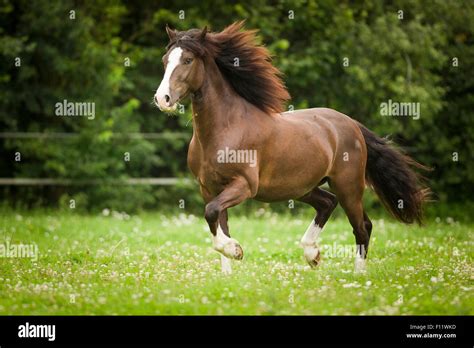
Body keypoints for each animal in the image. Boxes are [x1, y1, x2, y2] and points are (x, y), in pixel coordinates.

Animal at [153, 21, 430, 274]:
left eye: (188, 60)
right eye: (166, 60)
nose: (162, 99)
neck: (225, 129)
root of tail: (351, 124)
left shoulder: (244, 185)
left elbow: (211, 214)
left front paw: (236, 250)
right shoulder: (209, 188)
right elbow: (217, 223)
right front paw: (228, 271)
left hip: (348, 186)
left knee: (362, 226)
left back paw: (357, 275)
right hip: (301, 187)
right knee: (328, 203)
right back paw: (312, 254)